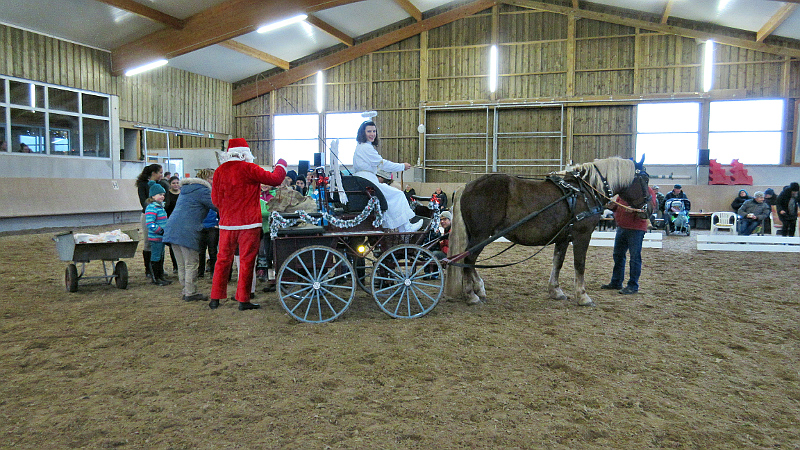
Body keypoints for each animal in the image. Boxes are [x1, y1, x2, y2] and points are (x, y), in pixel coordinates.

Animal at [450, 156, 648, 308]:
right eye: (645, 179)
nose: (649, 209)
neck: (585, 191)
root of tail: (466, 186)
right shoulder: (582, 234)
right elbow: (580, 264)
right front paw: (583, 296)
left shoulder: (563, 238)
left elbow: (557, 262)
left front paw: (556, 291)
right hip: (481, 235)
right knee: (468, 259)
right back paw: (471, 295)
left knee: (469, 261)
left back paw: (479, 289)